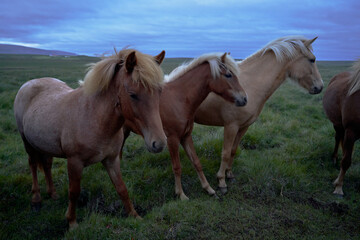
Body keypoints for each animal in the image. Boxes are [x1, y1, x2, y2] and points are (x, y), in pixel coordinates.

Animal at [13, 48, 167, 229]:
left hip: (44, 145)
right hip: (27, 142)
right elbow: (74, 192)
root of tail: (29, 84)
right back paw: (36, 199)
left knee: (46, 164)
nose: (159, 143)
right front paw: (72, 222)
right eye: (132, 94)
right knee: (32, 164)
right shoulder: (74, 162)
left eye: (159, 92)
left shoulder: (111, 160)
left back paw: (53, 193)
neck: (95, 118)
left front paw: (134, 216)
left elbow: (121, 188)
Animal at [121, 53, 248, 201]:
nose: (244, 99)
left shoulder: (186, 136)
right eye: (228, 75)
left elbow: (196, 162)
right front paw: (180, 194)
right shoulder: (172, 139)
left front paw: (208, 189)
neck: (179, 99)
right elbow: (177, 167)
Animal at [194, 36, 324, 193]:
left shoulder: (243, 127)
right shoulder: (231, 126)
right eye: (312, 59)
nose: (320, 87)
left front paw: (229, 174)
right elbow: (225, 153)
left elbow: (233, 150)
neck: (250, 84)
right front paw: (221, 181)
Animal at [322, 59, 360, 196]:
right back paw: (334, 158)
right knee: (338, 138)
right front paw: (338, 187)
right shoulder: (351, 130)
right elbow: (346, 161)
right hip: (337, 124)